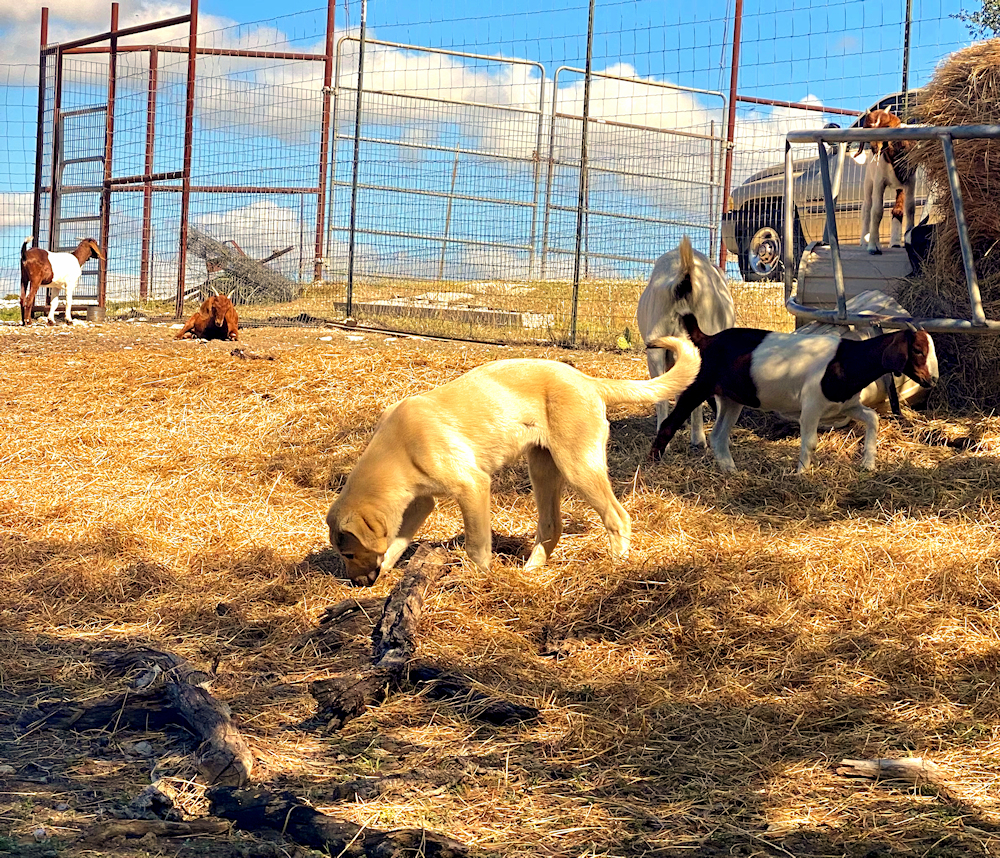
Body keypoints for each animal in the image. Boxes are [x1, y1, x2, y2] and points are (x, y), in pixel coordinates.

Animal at [324, 338, 700, 584]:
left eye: (347, 553)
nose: (357, 583)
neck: (398, 448)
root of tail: (589, 381)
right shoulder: (421, 502)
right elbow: (396, 542)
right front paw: (388, 567)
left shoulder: (472, 486)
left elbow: (477, 543)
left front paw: (477, 578)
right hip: (543, 469)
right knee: (551, 526)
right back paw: (532, 571)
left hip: (578, 465)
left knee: (617, 517)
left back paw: (617, 564)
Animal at [648, 314, 936, 472]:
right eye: (918, 350)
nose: (932, 380)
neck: (846, 359)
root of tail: (707, 339)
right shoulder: (811, 406)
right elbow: (810, 442)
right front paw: (800, 475)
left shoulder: (846, 405)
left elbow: (872, 418)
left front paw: (868, 464)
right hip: (699, 385)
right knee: (669, 424)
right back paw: (654, 464)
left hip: (732, 399)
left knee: (719, 436)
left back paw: (732, 472)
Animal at [856, 108, 916, 254]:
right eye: (867, 129)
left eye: (886, 127)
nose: (874, 148)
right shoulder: (879, 181)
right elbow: (877, 211)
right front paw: (873, 246)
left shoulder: (910, 181)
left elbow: (910, 208)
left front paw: (909, 238)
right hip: (869, 181)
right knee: (867, 208)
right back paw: (865, 241)